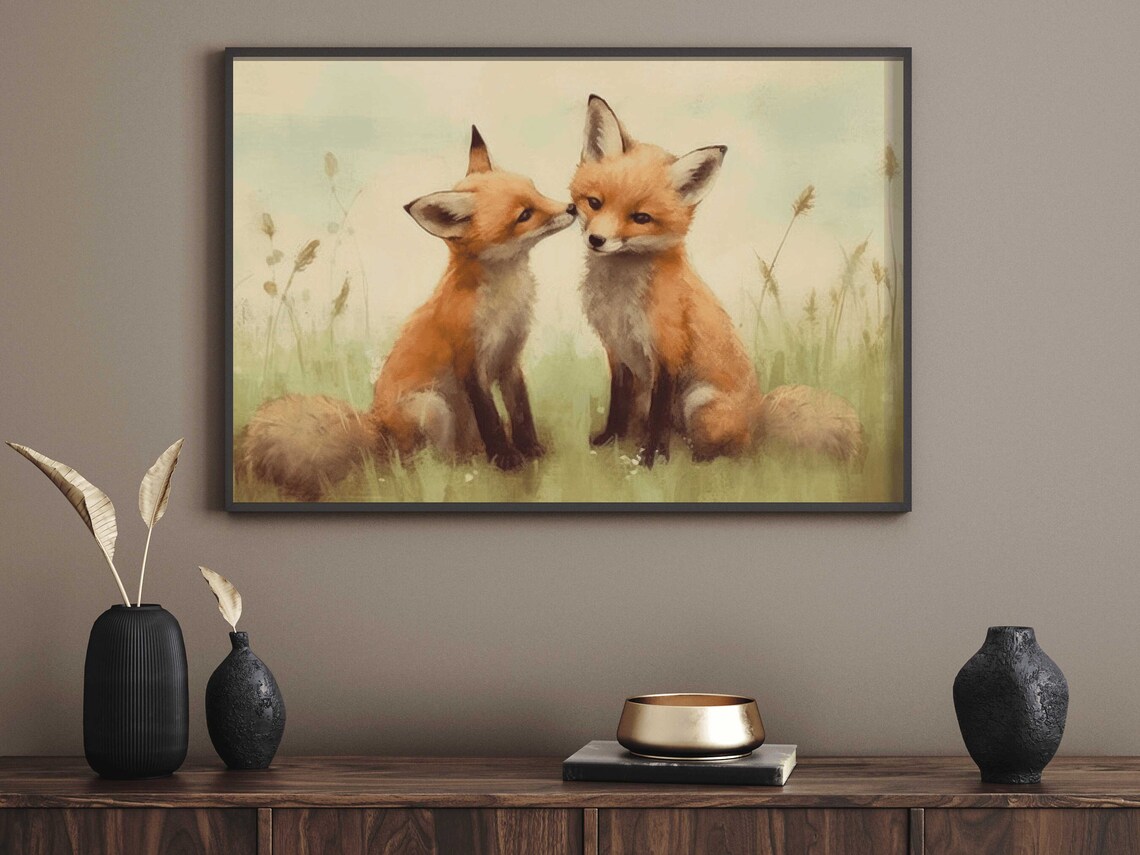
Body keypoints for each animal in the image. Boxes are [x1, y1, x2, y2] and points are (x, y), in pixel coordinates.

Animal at [238, 127, 577, 500]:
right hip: (432, 407)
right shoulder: (471, 365)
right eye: (524, 215)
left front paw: (532, 451)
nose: (573, 207)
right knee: (424, 466)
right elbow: (491, 420)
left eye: (535, 189)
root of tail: (377, 432)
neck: (504, 303)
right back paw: (463, 468)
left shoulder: (510, 358)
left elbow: (521, 412)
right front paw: (507, 460)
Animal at [570, 95, 864, 467]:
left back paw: (695, 458)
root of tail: (758, 421)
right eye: (594, 202)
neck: (619, 301)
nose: (597, 240)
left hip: (699, 403)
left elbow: (658, 417)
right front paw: (609, 441)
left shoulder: (668, 353)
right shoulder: (617, 352)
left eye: (641, 218)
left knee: (730, 453)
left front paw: (651, 460)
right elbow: (617, 406)